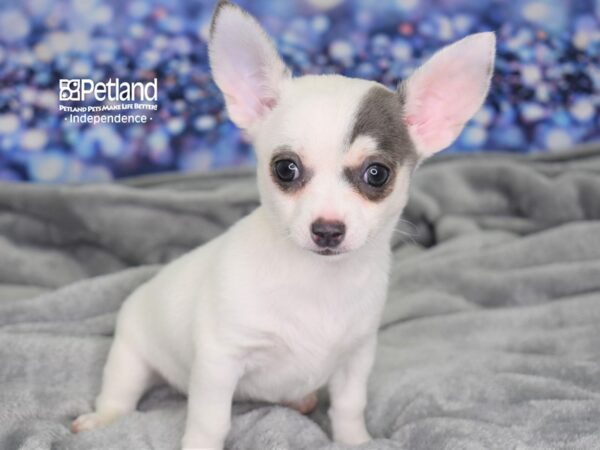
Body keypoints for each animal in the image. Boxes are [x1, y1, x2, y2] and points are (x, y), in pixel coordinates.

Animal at [70, 1, 494, 448]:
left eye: (377, 174)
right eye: (285, 169)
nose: (327, 229)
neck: (318, 281)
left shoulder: (356, 357)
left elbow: (349, 406)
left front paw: (355, 440)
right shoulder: (220, 361)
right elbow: (209, 421)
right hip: (131, 353)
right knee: (119, 393)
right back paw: (102, 418)